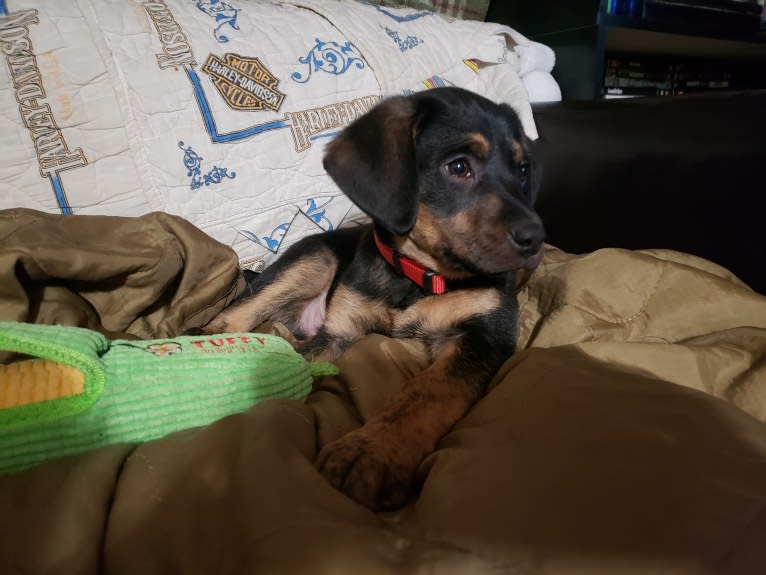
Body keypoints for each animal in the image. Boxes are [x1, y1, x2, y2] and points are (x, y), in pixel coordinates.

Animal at [201, 88, 544, 510]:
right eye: (459, 167)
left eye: (523, 169)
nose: (535, 237)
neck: (419, 278)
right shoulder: (338, 333)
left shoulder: (483, 337)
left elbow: (425, 394)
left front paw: (371, 453)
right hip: (315, 257)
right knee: (229, 318)